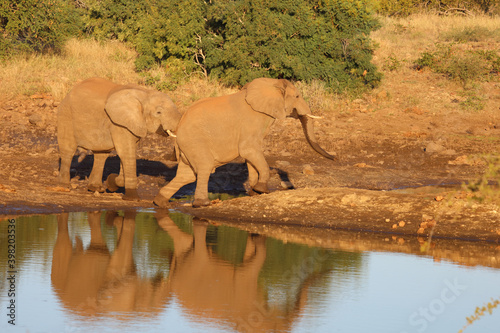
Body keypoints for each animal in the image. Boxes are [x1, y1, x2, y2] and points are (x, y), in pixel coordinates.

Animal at [155, 78, 336, 208]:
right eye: (297, 96)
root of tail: (178, 129)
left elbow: (250, 157)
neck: (271, 83)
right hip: (195, 141)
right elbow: (248, 150)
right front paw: (262, 189)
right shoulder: (253, 121)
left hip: (188, 146)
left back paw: (160, 202)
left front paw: (255, 193)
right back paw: (202, 204)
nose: (335, 158)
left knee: (186, 175)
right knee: (204, 168)